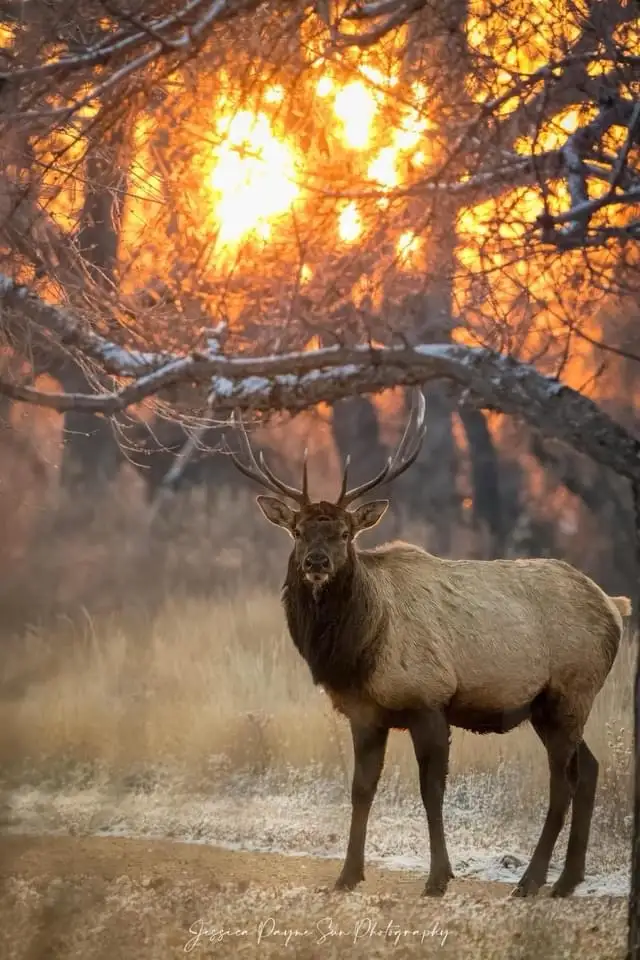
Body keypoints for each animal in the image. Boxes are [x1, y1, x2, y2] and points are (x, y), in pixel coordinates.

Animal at [224, 390, 630, 899]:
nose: (316, 562)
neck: (359, 652)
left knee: (564, 782)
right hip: (549, 706)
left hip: (571, 690)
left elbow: (431, 790)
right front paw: (347, 876)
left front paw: (438, 878)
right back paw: (566, 881)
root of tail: (615, 607)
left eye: (345, 533)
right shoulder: (364, 713)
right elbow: (361, 789)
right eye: (298, 531)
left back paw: (530, 881)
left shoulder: (429, 698)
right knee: (589, 769)